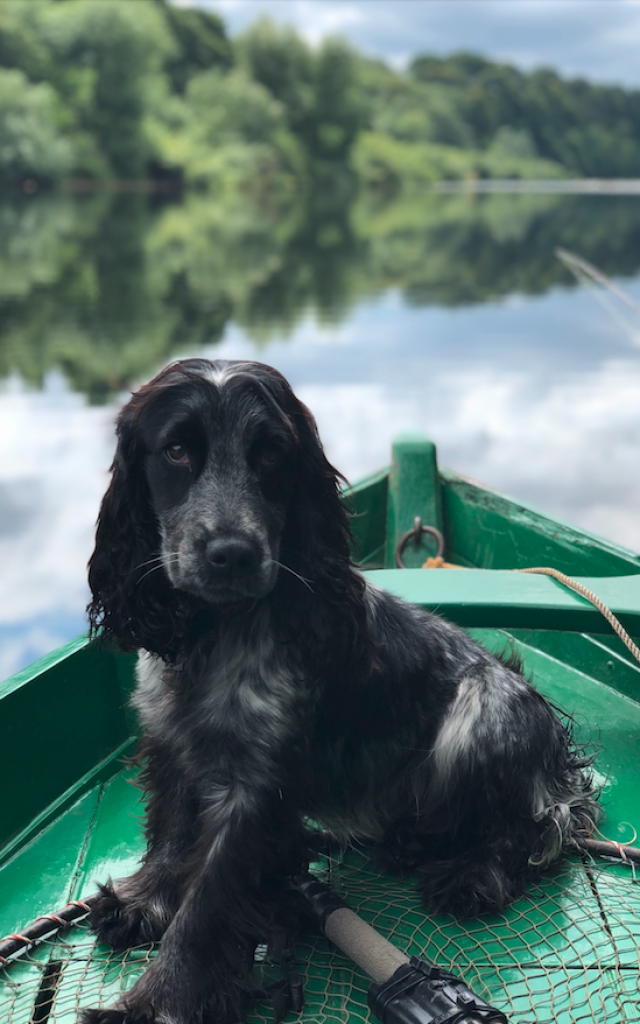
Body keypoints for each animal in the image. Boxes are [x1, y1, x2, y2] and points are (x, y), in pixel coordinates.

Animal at [82, 360, 598, 1024]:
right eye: (175, 451)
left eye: (272, 453)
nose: (231, 553)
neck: (213, 635)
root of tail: (559, 756)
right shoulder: (171, 743)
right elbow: (170, 837)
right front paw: (141, 904)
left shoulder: (257, 793)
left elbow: (205, 910)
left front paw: (152, 1005)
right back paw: (408, 842)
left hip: (478, 717)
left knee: (540, 827)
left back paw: (472, 875)